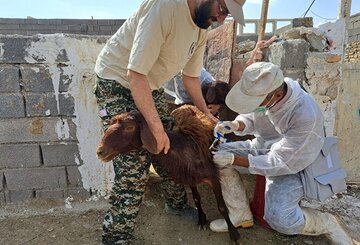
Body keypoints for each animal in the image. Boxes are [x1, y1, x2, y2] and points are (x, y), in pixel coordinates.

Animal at [96, 105, 239, 243]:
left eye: (129, 127)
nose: (100, 151)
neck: (186, 145)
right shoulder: (190, 178)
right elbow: (197, 199)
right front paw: (201, 219)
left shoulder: (213, 177)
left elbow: (222, 207)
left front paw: (233, 234)